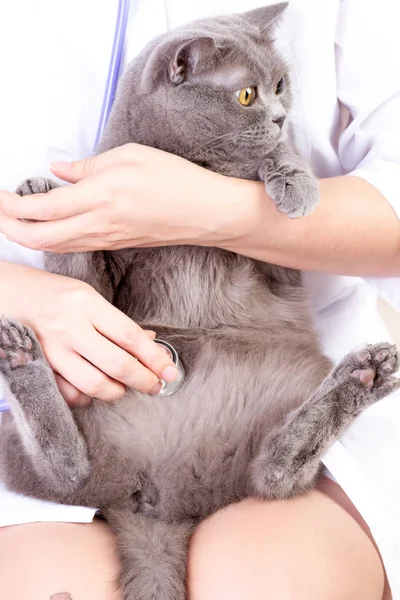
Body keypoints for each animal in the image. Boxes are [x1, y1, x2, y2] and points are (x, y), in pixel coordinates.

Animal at [0, 5, 398, 600]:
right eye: (246, 95)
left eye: (280, 86)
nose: (280, 116)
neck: (192, 162)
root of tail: (159, 503)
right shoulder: (106, 283)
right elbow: (80, 276)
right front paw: (40, 192)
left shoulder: (279, 269)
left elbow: (273, 163)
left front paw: (295, 184)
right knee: (67, 470)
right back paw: (22, 357)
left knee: (275, 474)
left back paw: (365, 375)